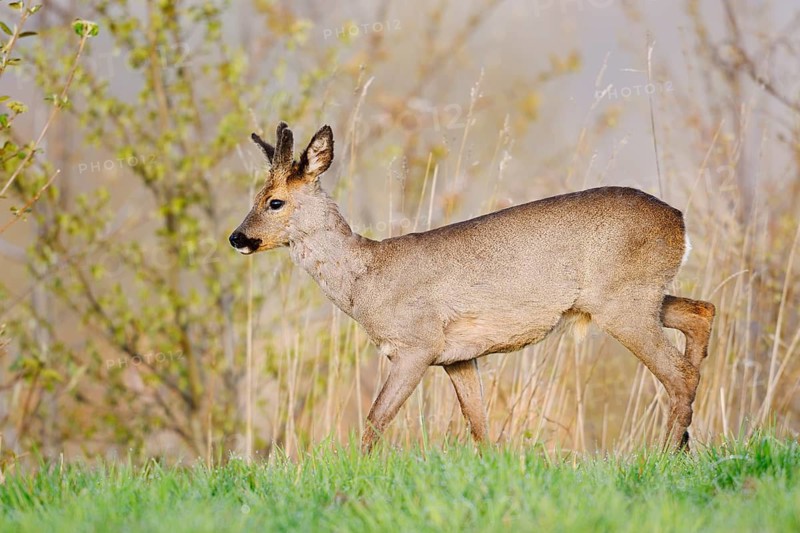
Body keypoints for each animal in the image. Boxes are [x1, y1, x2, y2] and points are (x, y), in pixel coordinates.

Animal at [229, 122, 716, 453]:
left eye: (275, 202)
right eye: (254, 198)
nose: (237, 237)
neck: (367, 278)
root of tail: (679, 221)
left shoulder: (417, 343)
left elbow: (375, 418)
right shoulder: (459, 357)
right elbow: (479, 427)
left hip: (622, 301)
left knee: (679, 373)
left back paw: (664, 453)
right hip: (634, 297)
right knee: (701, 313)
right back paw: (685, 444)